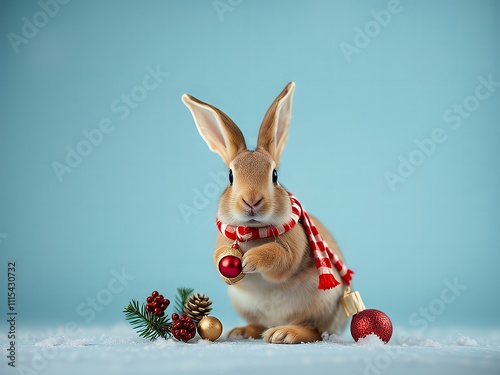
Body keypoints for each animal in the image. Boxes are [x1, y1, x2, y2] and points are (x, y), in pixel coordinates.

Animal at [182, 83, 350, 346]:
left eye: (275, 176)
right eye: (230, 176)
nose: (252, 201)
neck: (252, 230)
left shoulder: (293, 245)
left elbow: (280, 257)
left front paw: (250, 260)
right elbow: (218, 255)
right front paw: (225, 267)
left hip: (321, 303)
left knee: (314, 330)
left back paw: (284, 333)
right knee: (260, 324)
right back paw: (242, 331)